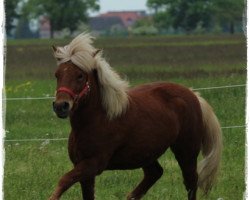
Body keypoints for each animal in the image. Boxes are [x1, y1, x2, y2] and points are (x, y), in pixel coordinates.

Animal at [49, 33, 223, 200]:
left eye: (80, 75)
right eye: (57, 75)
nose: (60, 106)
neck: (97, 119)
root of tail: (193, 94)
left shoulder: (93, 164)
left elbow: (64, 180)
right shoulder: (84, 169)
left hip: (186, 151)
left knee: (190, 182)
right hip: (146, 153)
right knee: (155, 173)